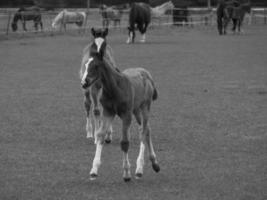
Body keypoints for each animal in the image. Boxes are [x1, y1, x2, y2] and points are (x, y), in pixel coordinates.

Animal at [81, 28, 161, 183]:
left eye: (96, 66)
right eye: (86, 65)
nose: (84, 82)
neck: (115, 88)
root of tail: (146, 74)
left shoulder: (126, 115)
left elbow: (124, 142)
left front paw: (127, 173)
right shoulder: (108, 112)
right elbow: (100, 135)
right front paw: (94, 170)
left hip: (144, 107)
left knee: (143, 131)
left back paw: (140, 169)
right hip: (136, 110)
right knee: (147, 129)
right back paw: (154, 164)